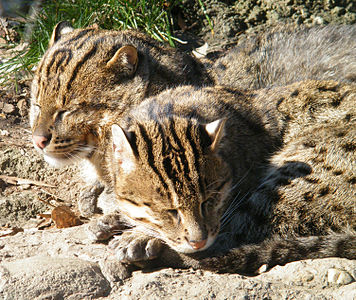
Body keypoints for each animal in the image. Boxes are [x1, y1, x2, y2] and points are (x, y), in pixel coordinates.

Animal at [96, 81, 354, 276]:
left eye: (209, 201)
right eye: (169, 211)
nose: (198, 241)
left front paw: (139, 235)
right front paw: (115, 218)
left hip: (289, 183)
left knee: (232, 241)